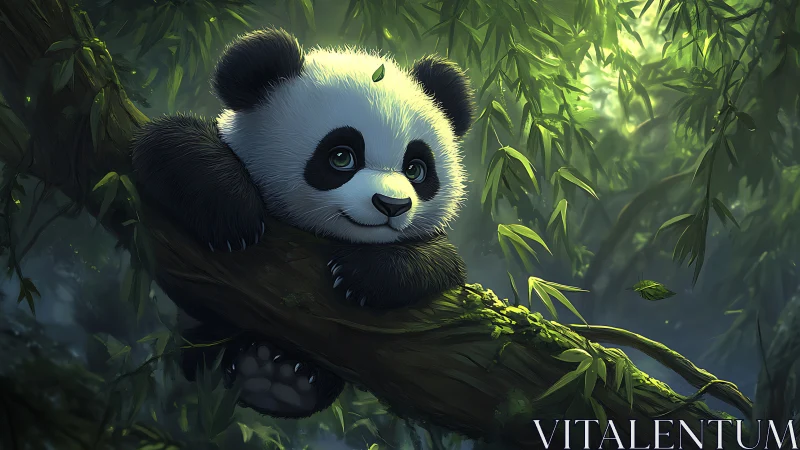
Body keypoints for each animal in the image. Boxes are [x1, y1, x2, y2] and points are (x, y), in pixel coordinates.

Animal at [131, 28, 476, 418]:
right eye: (341, 157)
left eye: (416, 169)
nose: (392, 205)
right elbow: (165, 142)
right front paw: (234, 216)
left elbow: (441, 260)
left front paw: (361, 276)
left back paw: (282, 381)